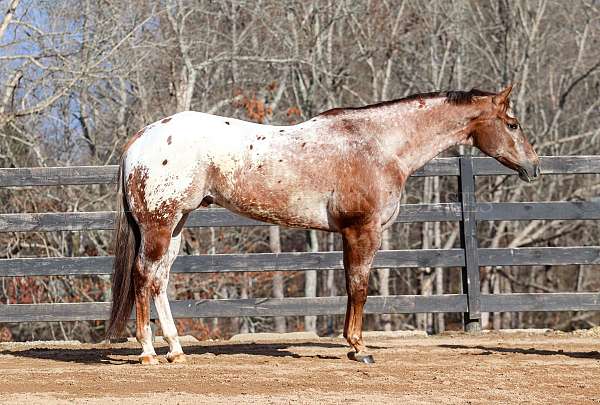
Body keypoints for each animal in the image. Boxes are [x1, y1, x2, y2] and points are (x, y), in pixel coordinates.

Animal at [105, 84, 540, 362]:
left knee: (159, 280)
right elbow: (358, 287)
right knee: (145, 276)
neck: (378, 144)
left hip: (176, 226)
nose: (534, 167)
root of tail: (142, 138)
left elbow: (352, 287)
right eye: (513, 124)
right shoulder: (361, 231)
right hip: (159, 226)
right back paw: (148, 352)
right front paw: (358, 348)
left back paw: (176, 351)